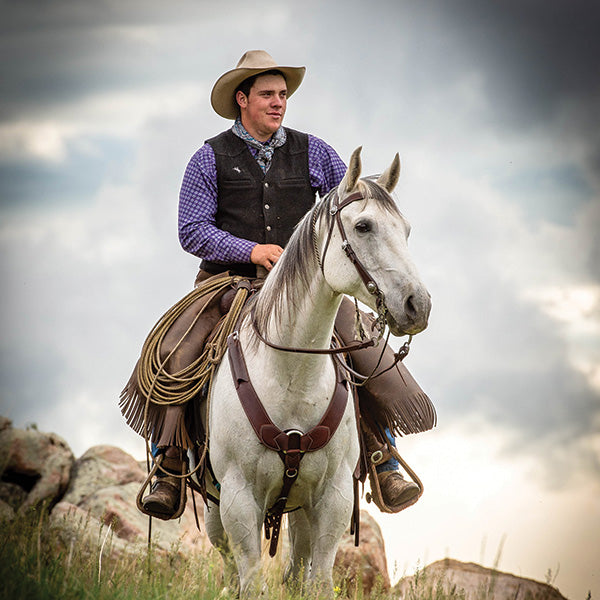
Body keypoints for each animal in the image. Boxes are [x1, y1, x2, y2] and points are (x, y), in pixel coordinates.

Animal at [203, 146, 432, 596]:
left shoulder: (333, 497)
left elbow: (320, 579)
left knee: (297, 565)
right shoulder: (239, 497)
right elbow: (250, 578)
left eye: (406, 230)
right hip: (215, 504)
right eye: (363, 226)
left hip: (299, 509)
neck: (292, 375)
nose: (419, 305)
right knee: (228, 561)